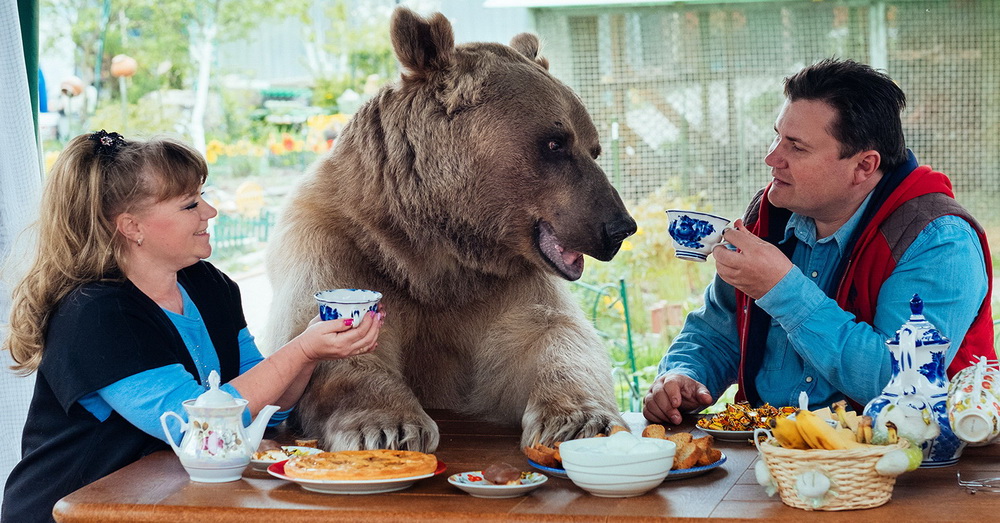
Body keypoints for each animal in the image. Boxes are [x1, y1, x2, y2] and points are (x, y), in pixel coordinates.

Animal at [266, 6, 636, 452]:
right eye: (555, 142)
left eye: (593, 147)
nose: (619, 227)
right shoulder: (339, 245)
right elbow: (331, 341)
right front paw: (389, 427)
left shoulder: (501, 286)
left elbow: (551, 336)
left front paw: (580, 419)